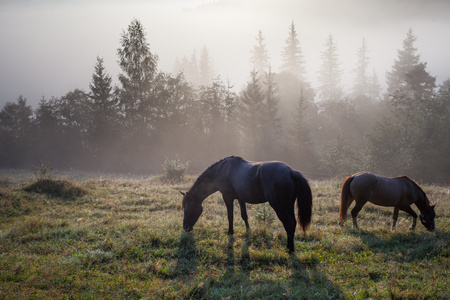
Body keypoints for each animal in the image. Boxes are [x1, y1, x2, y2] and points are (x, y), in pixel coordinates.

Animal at [180, 156, 312, 252]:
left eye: (188, 208)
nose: (185, 227)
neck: (222, 170)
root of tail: (290, 172)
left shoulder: (227, 198)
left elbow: (230, 216)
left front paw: (230, 232)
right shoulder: (240, 198)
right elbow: (244, 216)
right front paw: (248, 232)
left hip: (279, 206)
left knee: (288, 224)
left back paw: (289, 248)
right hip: (289, 205)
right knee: (293, 223)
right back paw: (290, 247)